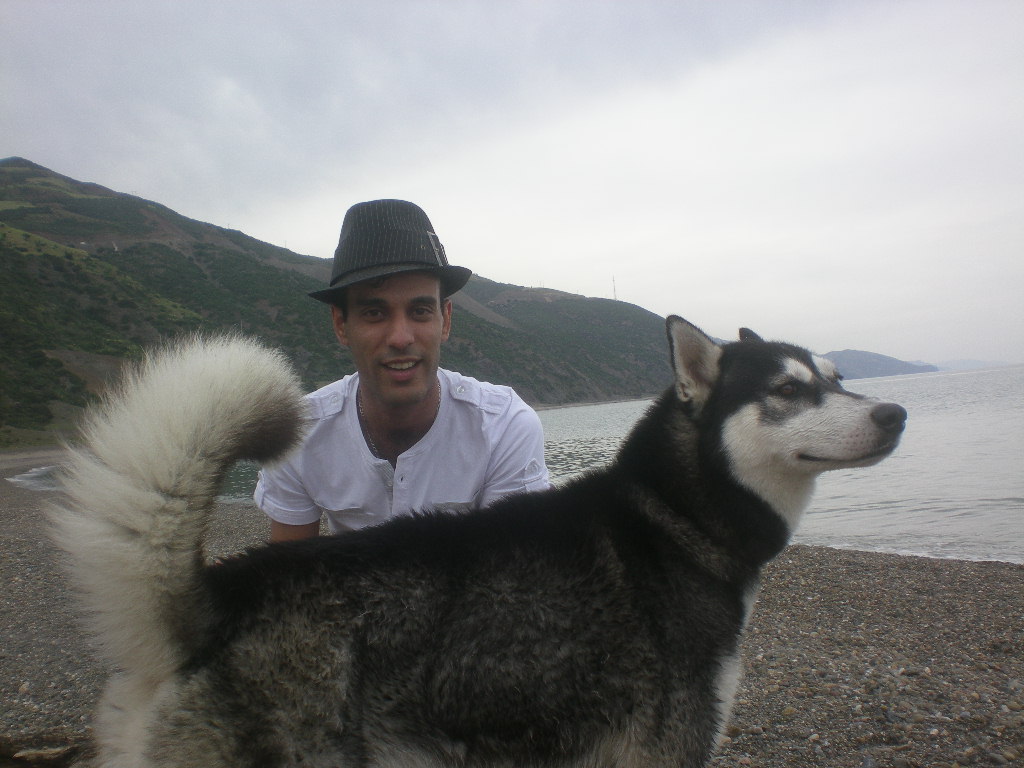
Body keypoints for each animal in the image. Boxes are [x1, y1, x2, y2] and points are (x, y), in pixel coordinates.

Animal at [51, 317, 906, 767]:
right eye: (788, 389)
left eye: (836, 377)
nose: (895, 413)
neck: (675, 517)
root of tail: (221, 591)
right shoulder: (668, 747)